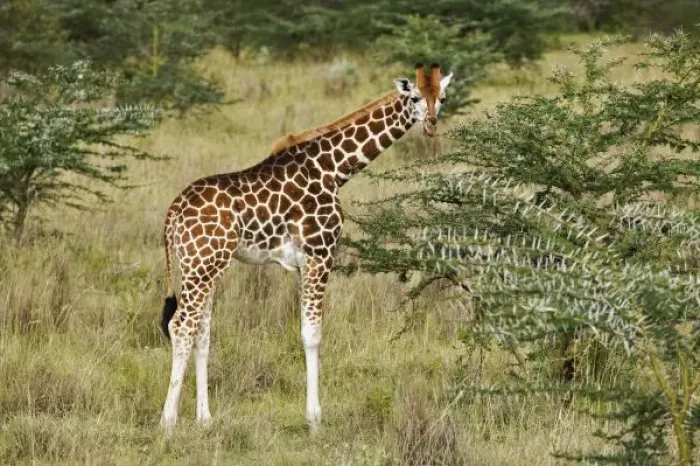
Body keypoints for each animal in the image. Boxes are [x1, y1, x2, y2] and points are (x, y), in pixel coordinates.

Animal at [159, 63, 453, 434]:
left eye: (442, 98)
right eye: (414, 97)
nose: (431, 124)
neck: (333, 169)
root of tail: (172, 213)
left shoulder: (306, 261)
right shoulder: (319, 253)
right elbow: (312, 334)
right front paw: (314, 419)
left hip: (198, 266)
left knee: (201, 332)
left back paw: (205, 419)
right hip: (203, 265)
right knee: (181, 326)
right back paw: (167, 422)